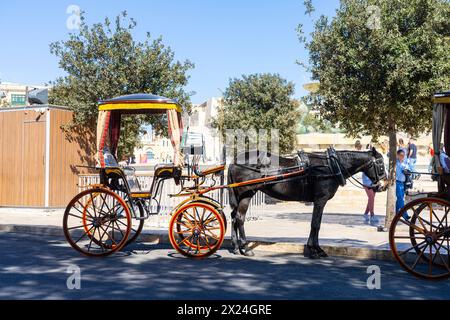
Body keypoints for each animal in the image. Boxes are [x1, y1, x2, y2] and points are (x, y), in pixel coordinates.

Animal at [229, 148, 386, 258]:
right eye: (381, 165)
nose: (383, 186)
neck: (330, 166)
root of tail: (234, 161)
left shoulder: (320, 201)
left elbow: (317, 224)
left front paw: (315, 248)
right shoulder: (320, 200)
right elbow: (315, 224)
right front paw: (314, 249)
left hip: (239, 195)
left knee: (233, 217)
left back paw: (236, 247)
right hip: (247, 194)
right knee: (240, 218)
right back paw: (245, 248)